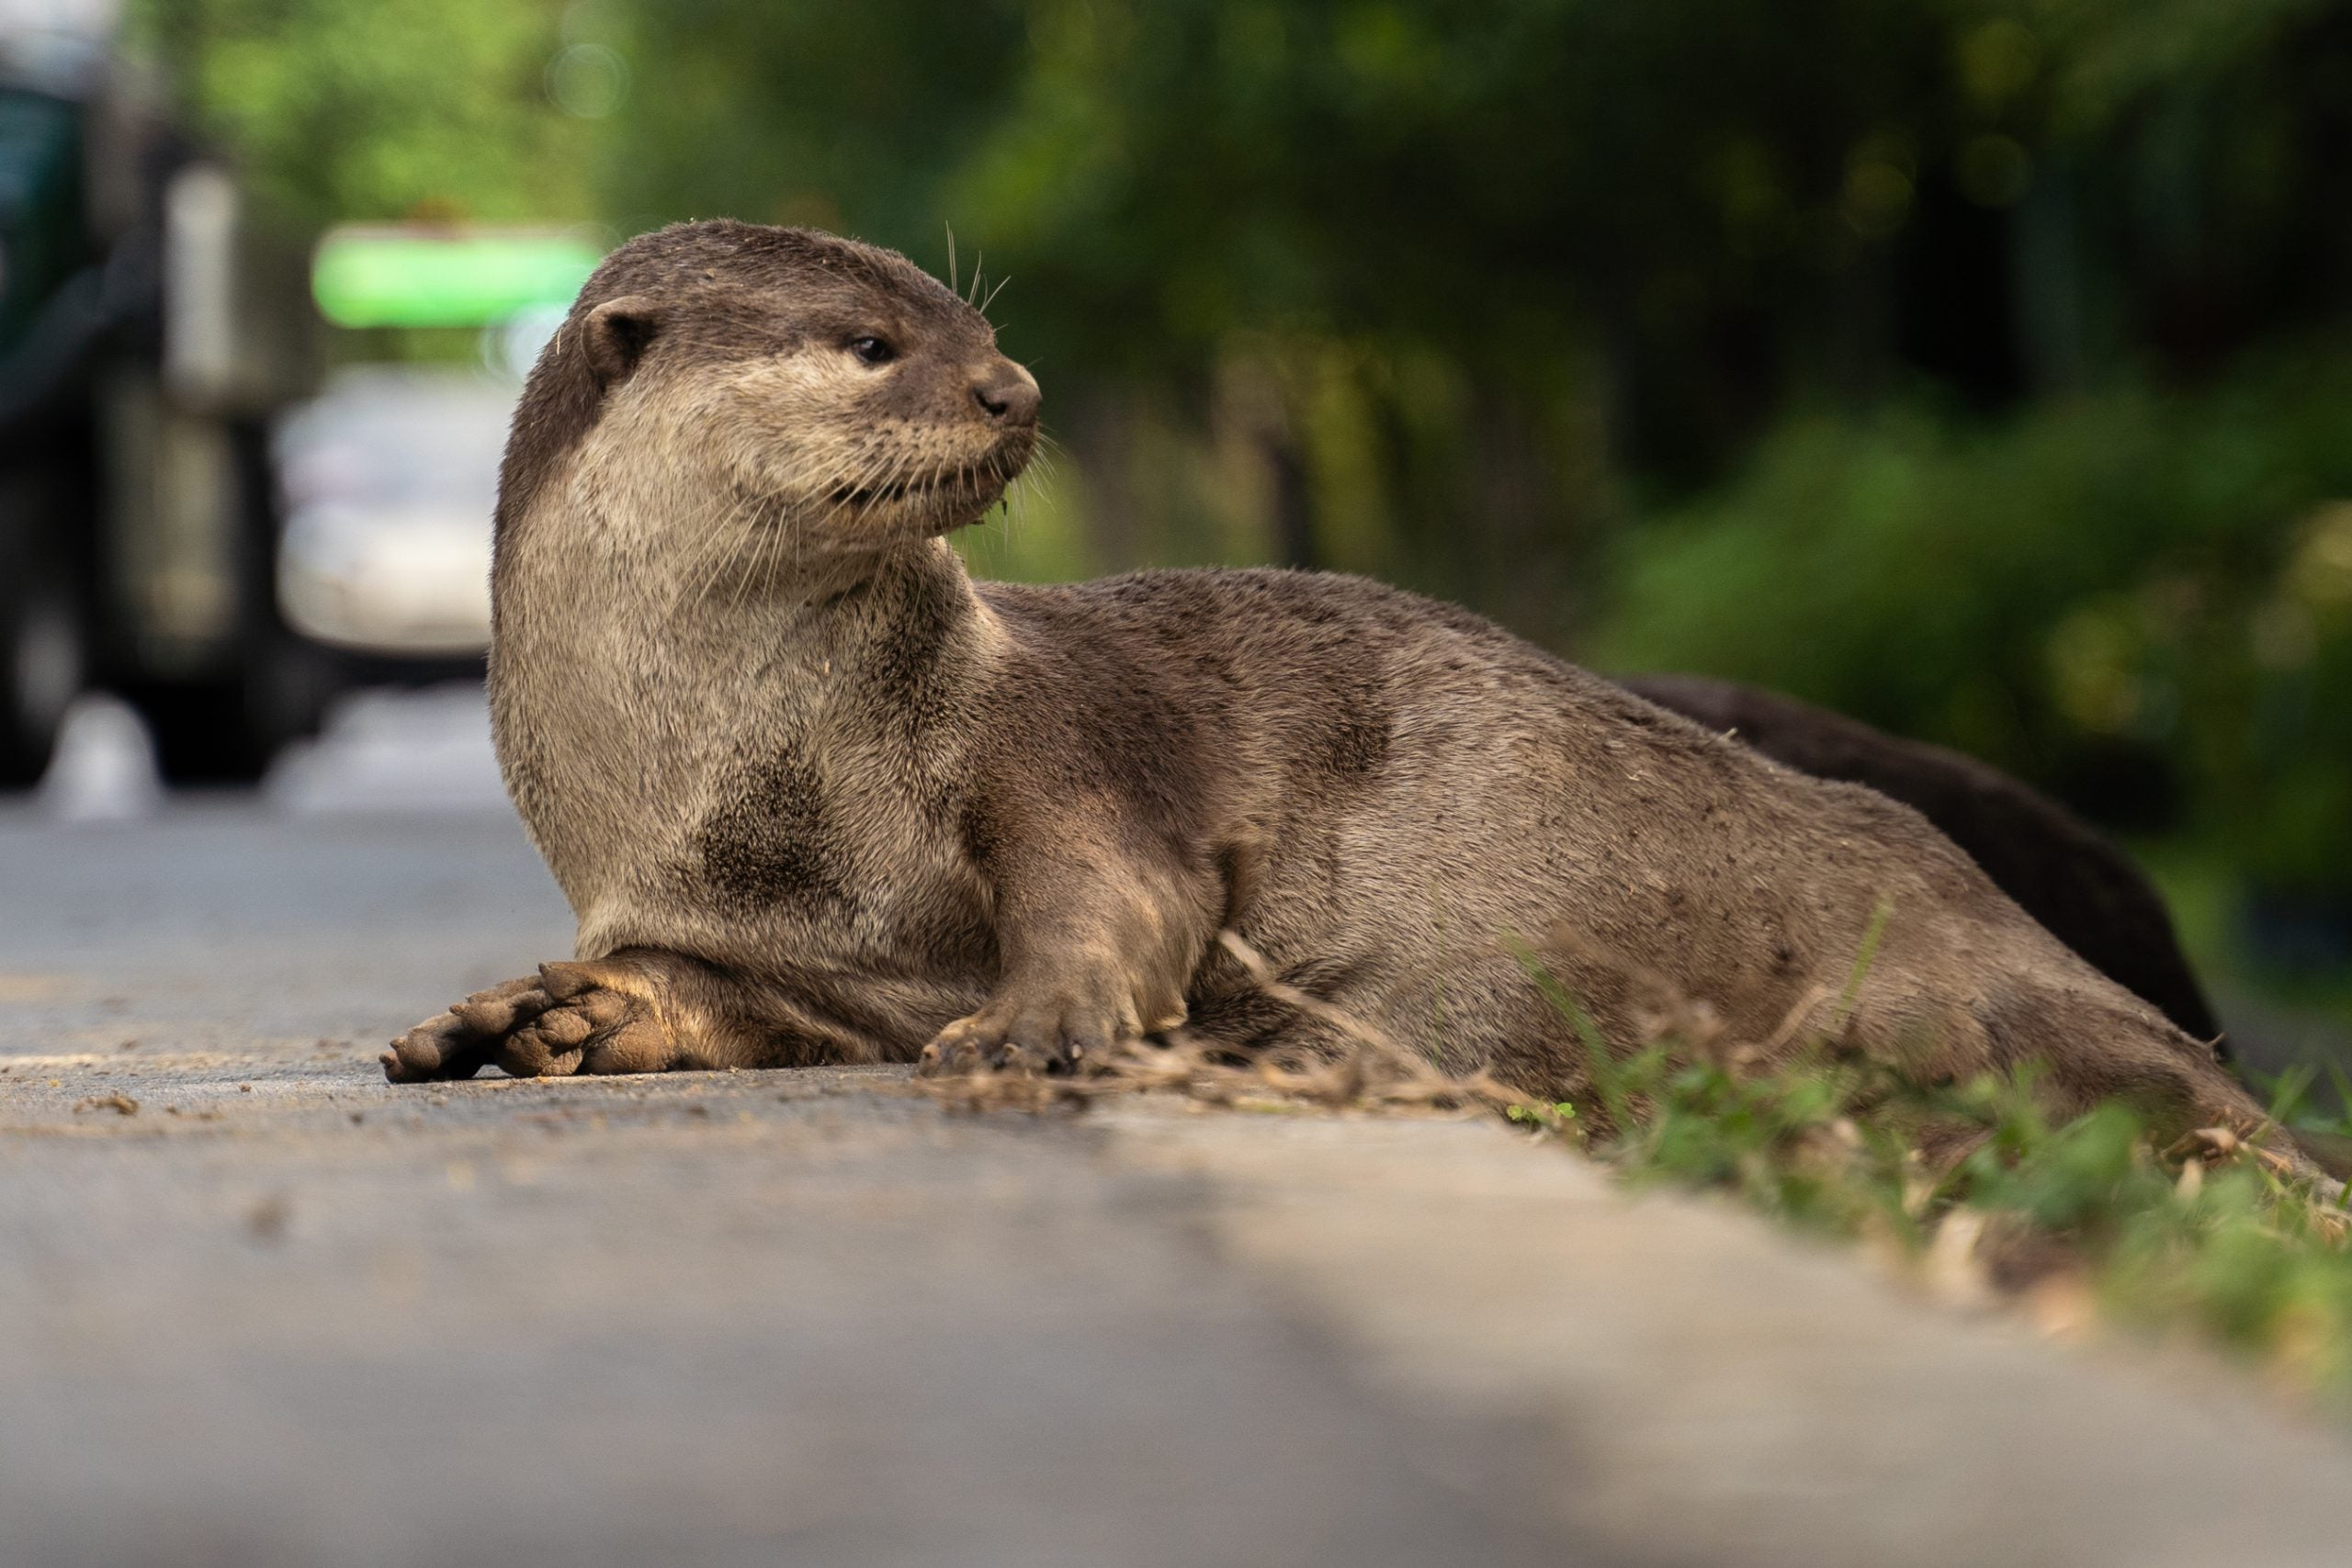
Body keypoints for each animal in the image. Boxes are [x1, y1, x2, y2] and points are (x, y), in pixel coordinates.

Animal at [385, 215, 2277, 1161]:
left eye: (974, 324)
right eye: (874, 347)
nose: (1015, 387)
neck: (763, 772)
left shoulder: (1064, 749)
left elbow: (1108, 886)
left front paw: (1044, 1020)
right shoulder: (751, 934)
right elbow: (701, 995)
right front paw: (529, 1019)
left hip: (1922, 966)